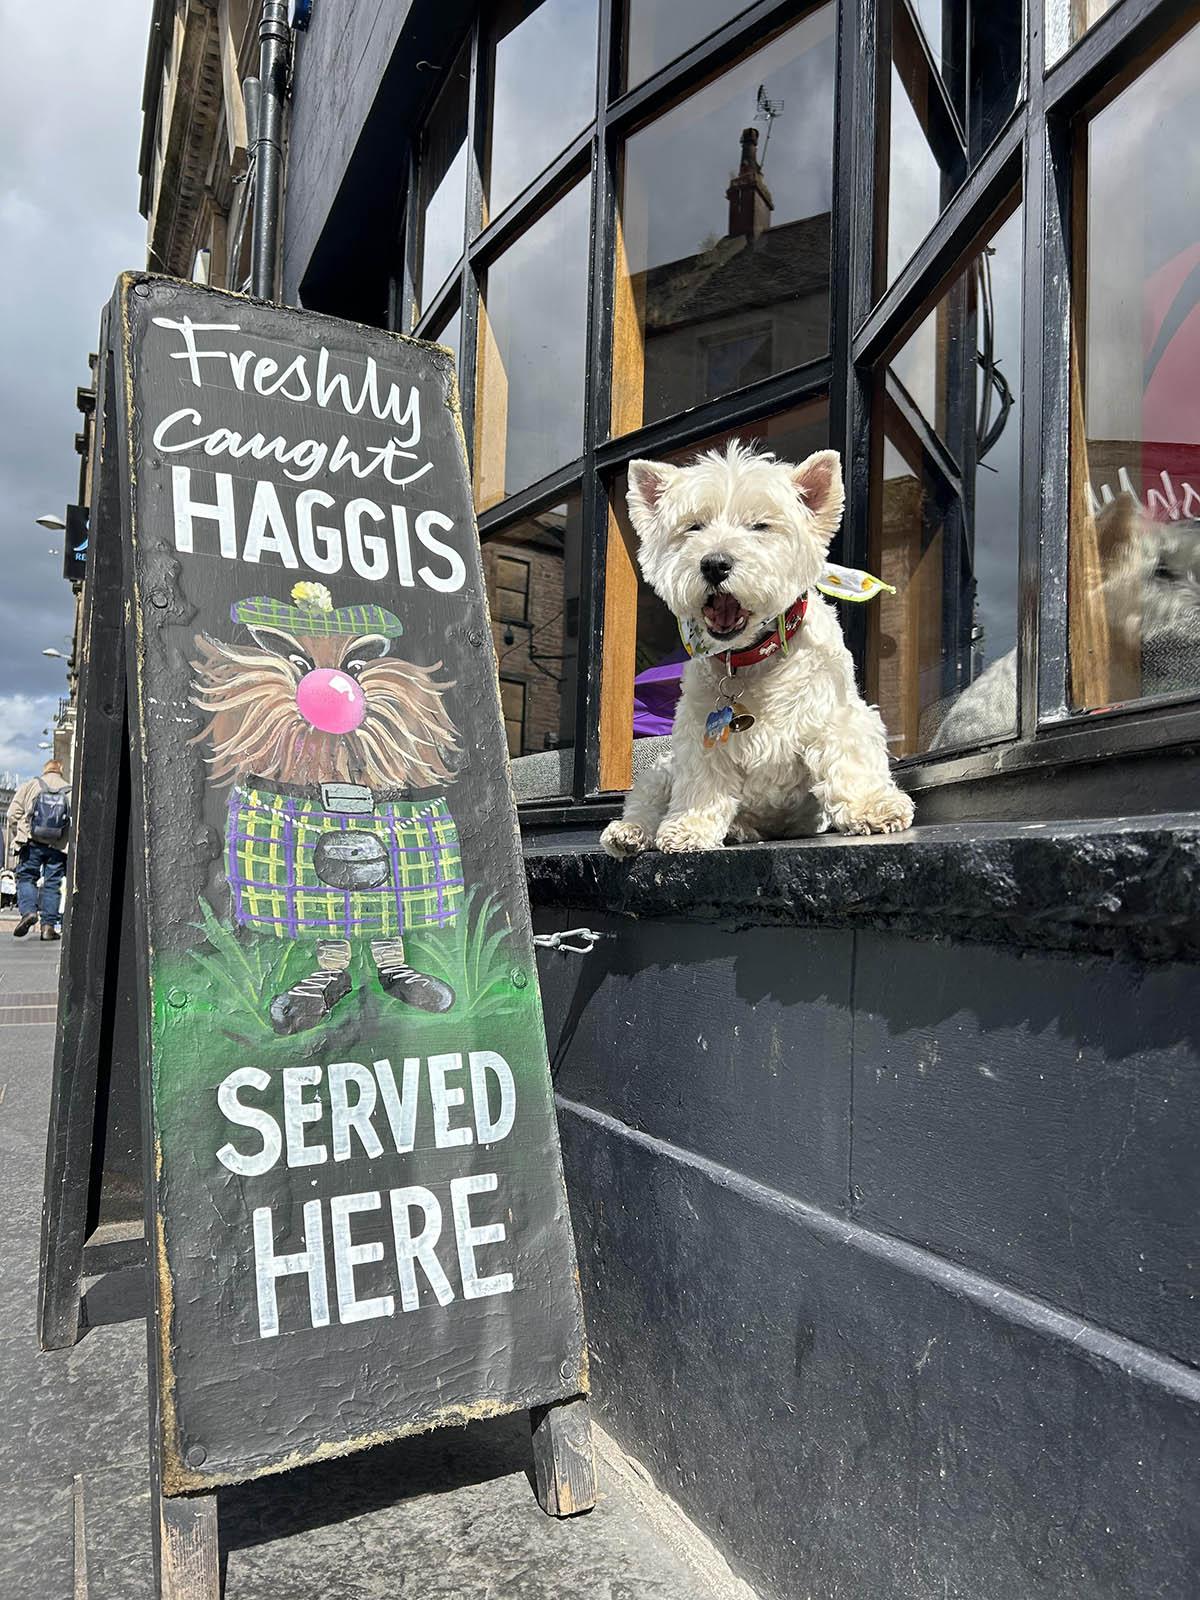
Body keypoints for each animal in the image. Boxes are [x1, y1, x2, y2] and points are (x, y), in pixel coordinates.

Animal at [604, 444, 915, 857]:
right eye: (694, 527)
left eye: (761, 526)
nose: (714, 563)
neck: (751, 657)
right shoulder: (699, 734)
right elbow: (702, 783)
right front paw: (689, 827)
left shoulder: (837, 712)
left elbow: (849, 759)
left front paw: (872, 808)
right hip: (662, 769)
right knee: (646, 800)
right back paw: (631, 832)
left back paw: (738, 829)